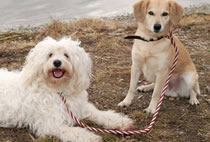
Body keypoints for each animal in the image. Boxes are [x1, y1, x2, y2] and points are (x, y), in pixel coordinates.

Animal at [0, 37, 134, 141]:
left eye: (66, 55)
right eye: (50, 55)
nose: (57, 62)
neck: (58, 89)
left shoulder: (78, 107)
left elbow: (98, 113)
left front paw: (120, 122)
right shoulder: (50, 124)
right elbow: (72, 131)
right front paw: (90, 137)